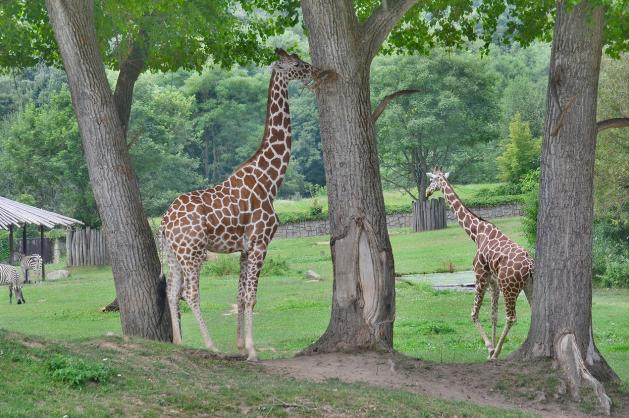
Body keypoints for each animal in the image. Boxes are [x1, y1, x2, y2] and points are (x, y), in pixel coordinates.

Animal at [159, 49, 326, 360]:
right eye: (297, 63)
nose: (316, 70)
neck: (270, 181)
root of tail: (163, 223)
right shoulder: (260, 242)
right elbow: (251, 296)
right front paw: (251, 350)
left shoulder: (245, 248)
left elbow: (240, 294)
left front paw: (240, 345)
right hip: (193, 253)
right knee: (190, 293)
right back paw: (211, 345)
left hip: (173, 254)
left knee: (172, 292)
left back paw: (179, 343)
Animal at [424, 167, 532, 360]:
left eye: (431, 181)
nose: (426, 193)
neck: (476, 233)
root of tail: (529, 265)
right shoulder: (493, 281)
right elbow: (493, 316)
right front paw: (492, 348)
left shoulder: (480, 275)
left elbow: (474, 314)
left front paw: (490, 349)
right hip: (528, 286)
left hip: (509, 287)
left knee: (511, 317)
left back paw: (497, 353)